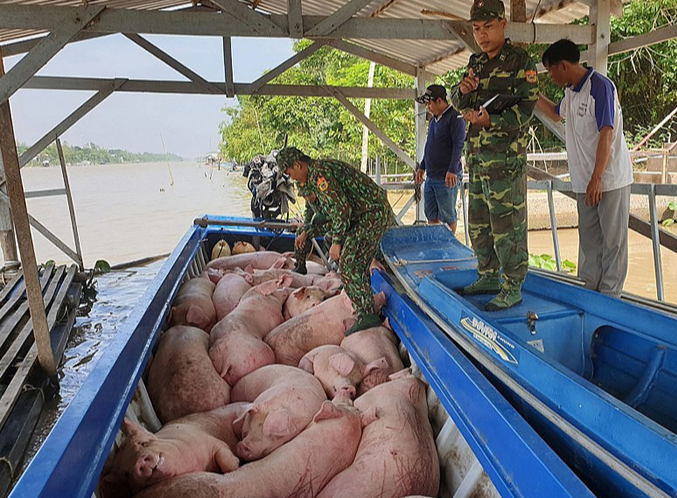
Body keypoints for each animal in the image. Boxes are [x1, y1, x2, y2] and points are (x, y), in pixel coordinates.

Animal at [97, 404, 240, 498]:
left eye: (143, 443)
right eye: (127, 473)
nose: (139, 463)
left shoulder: (211, 441)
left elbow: (225, 459)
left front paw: (237, 464)